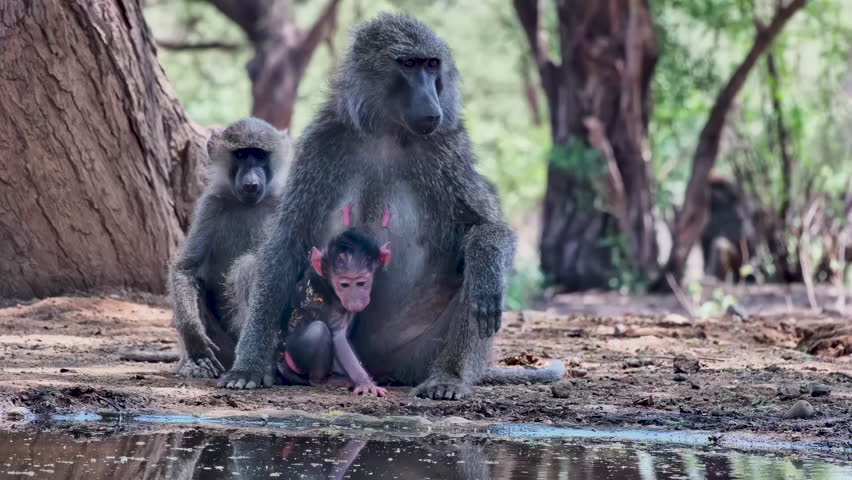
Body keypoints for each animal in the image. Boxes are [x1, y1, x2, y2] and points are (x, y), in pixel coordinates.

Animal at [168, 117, 290, 379]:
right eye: (241, 154)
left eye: (260, 155)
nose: (251, 182)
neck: (248, 205)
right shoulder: (210, 206)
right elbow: (185, 268)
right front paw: (194, 338)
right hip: (222, 350)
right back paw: (195, 365)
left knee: (248, 267)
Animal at [217, 13, 564, 399]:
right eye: (408, 64)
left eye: (432, 65)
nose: (431, 105)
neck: (386, 131)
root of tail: (380, 368)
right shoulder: (321, 144)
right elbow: (287, 241)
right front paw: (249, 365)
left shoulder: (447, 148)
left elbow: (488, 227)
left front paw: (486, 269)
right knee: (251, 266)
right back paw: (278, 367)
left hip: (414, 356)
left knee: (475, 277)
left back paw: (449, 377)